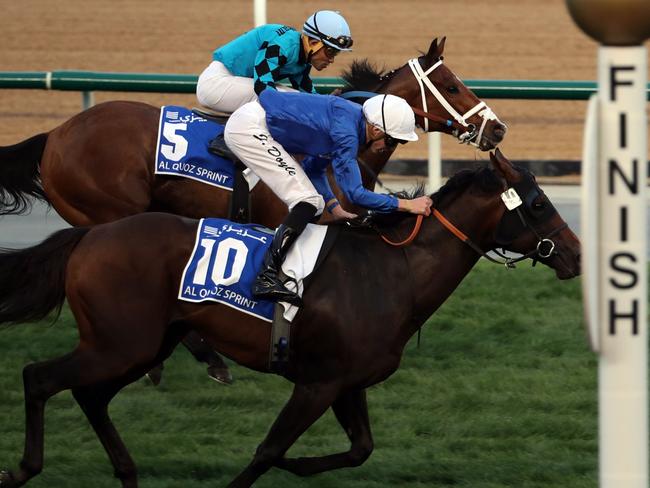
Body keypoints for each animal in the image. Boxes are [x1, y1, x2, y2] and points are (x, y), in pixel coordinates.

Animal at [0, 151, 576, 486]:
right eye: (539, 204)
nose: (574, 254)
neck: (394, 272)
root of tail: (89, 235)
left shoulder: (347, 382)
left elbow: (360, 449)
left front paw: (300, 467)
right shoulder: (317, 383)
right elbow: (267, 450)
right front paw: (281, 464)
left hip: (142, 345)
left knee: (89, 396)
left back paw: (125, 471)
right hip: (119, 344)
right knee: (38, 377)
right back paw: (25, 468)